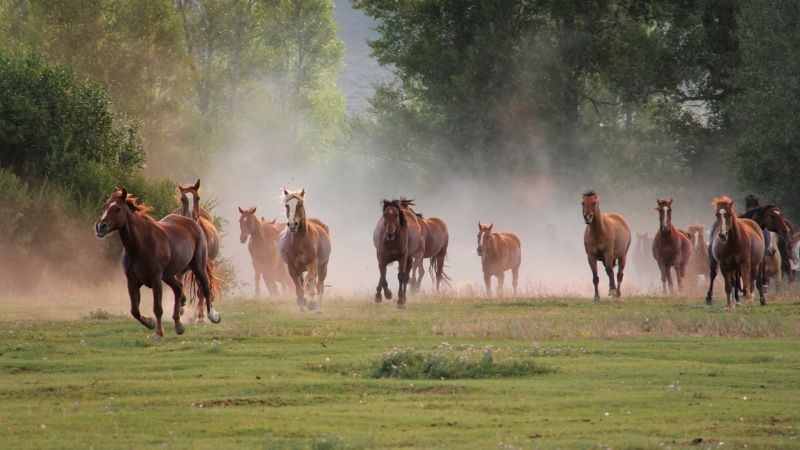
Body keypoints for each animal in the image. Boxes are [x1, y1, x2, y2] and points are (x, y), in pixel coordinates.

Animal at [94, 188, 220, 338]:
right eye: (104, 207)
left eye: (118, 209)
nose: (100, 227)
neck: (141, 245)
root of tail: (192, 222)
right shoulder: (132, 281)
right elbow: (135, 310)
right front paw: (150, 323)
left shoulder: (156, 279)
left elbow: (157, 308)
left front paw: (159, 333)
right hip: (170, 275)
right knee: (179, 289)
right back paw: (178, 325)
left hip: (199, 267)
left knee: (205, 288)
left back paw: (212, 316)